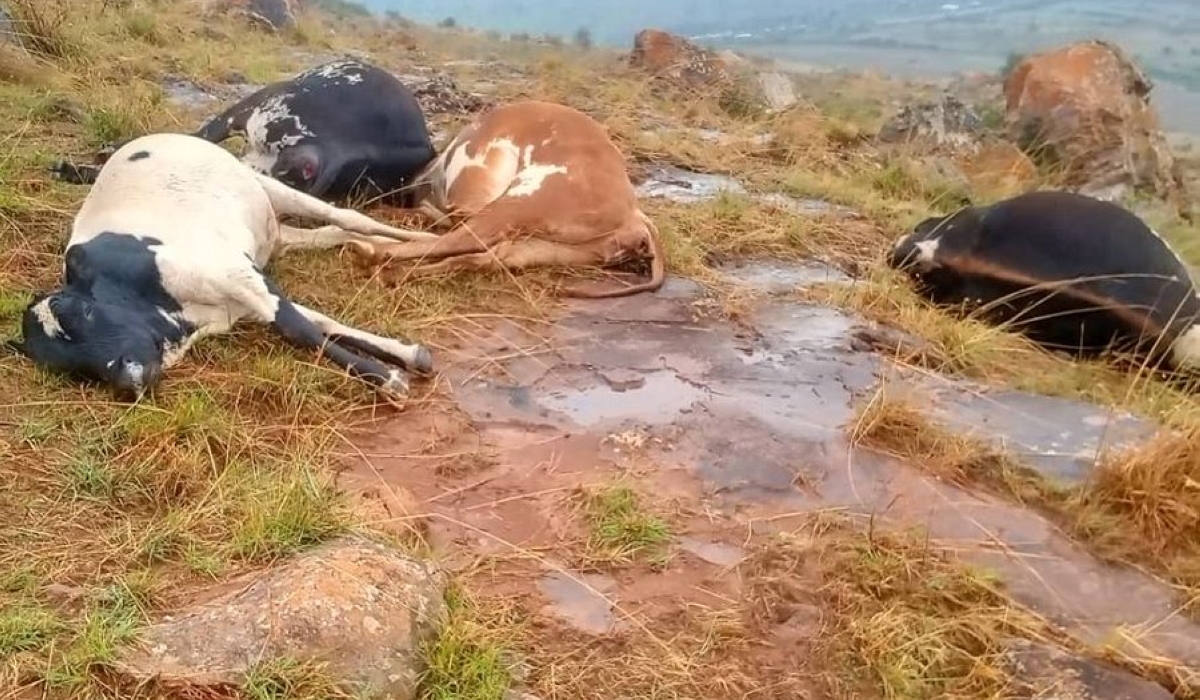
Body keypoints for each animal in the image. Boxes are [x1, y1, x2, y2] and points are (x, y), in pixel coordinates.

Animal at [345, 99, 667, 298]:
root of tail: (635, 216)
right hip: (543, 247)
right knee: (479, 258)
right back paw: (392, 273)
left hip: (519, 203)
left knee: (460, 240)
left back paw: (372, 252)